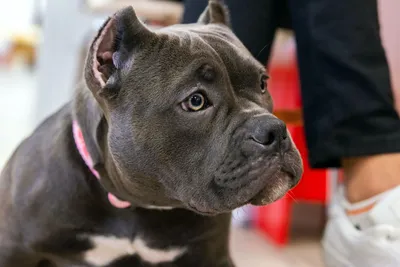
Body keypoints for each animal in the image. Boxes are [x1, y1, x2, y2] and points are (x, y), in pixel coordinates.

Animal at [0, 1, 302, 266]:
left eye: (263, 83)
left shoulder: (211, 255)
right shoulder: (14, 251)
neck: (137, 204)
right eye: (196, 101)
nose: (275, 130)